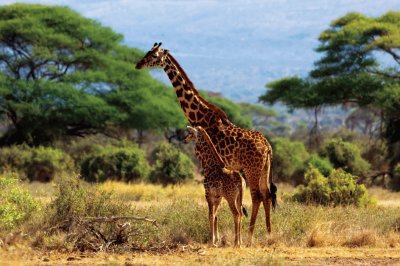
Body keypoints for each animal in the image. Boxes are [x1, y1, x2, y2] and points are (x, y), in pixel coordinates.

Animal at [136, 42, 276, 243]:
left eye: (154, 56)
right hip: (264, 169)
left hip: (252, 168)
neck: (200, 115)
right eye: (147, 52)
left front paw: (216, 238)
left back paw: (250, 237)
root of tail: (268, 147)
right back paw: (268, 234)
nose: (138, 64)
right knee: (266, 195)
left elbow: (215, 205)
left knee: (256, 196)